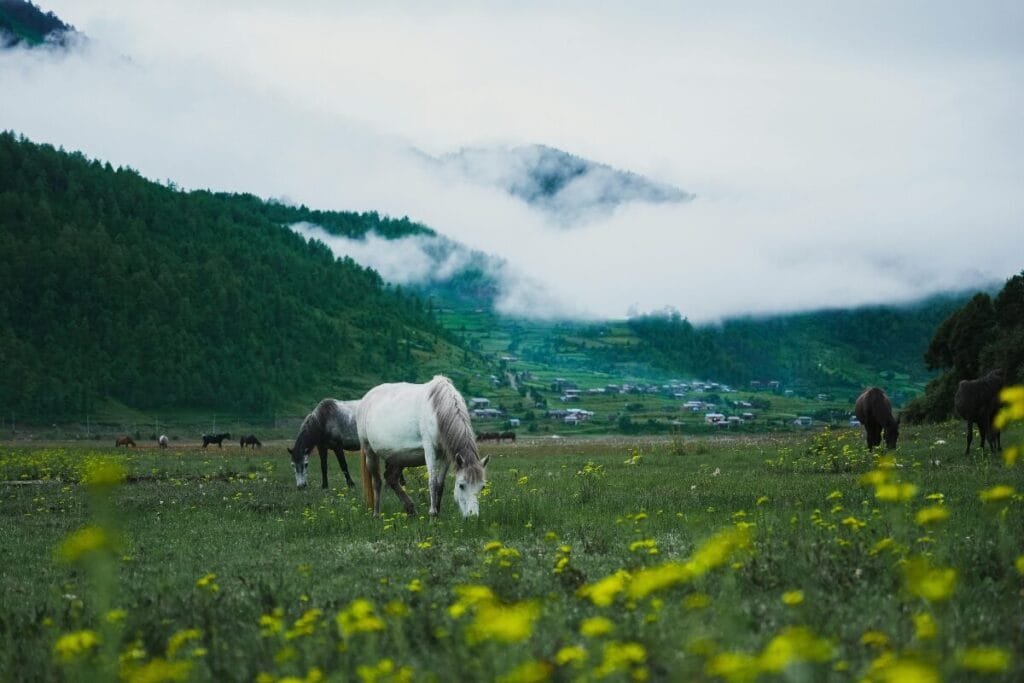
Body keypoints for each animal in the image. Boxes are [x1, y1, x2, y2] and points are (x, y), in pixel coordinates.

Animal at [358, 375, 489, 518]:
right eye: (461, 485)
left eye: (482, 487)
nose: (473, 516)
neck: (437, 410)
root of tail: (366, 398)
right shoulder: (429, 449)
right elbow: (432, 482)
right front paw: (432, 513)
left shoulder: (446, 455)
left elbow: (440, 484)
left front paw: (437, 513)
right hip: (369, 451)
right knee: (377, 481)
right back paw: (376, 514)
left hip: (398, 458)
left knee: (391, 478)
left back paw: (411, 510)